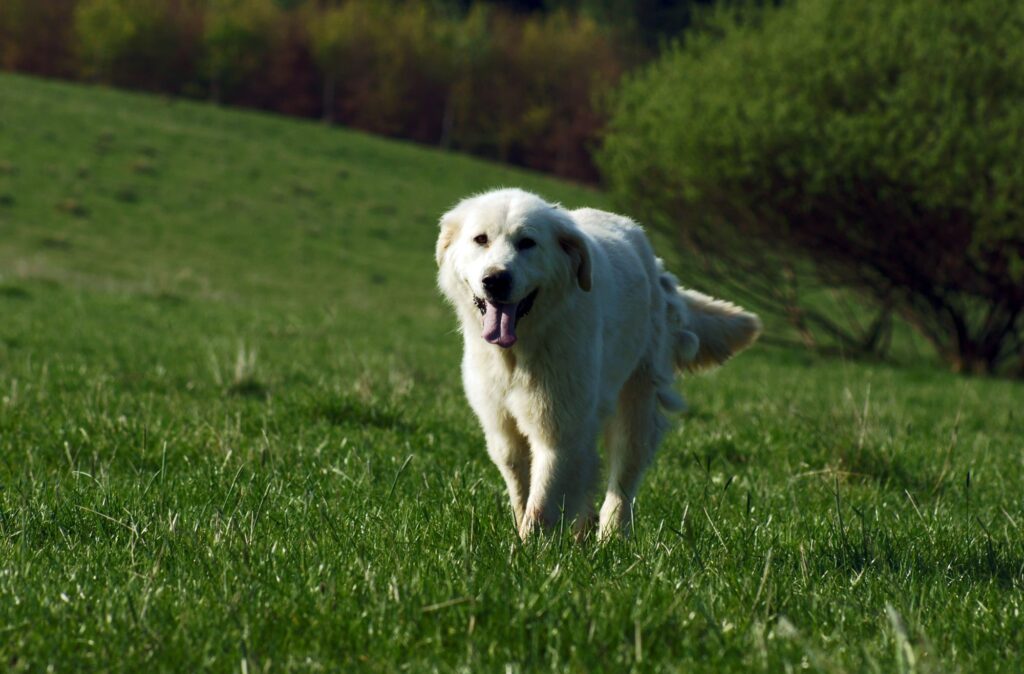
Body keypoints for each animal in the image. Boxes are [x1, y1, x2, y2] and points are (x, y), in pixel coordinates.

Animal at [434, 187, 761, 536]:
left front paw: (529, 548)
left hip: (635, 407)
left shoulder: (560, 431)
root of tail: (656, 266)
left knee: (622, 480)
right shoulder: (502, 429)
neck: (519, 350)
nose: (496, 279)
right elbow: (522, 493)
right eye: (481, 239)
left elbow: (542, 505)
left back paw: (612, 536)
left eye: (527, 243)